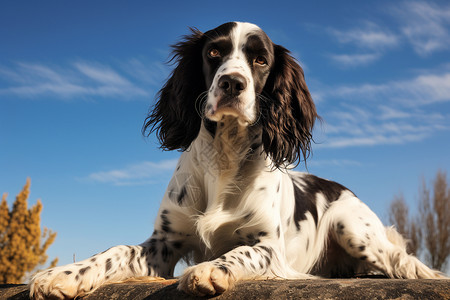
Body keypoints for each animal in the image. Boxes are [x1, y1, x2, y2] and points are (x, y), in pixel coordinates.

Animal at [29, 22, 444, 298]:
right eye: (214, 53)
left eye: (260, 60)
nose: (232, 83)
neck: (224, 158)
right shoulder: (164, 243)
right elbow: (115, 251)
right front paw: (64, 274)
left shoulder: (268, 247)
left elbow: (240, 252)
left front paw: (211, 270)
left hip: (352, 226)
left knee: (402, 263)